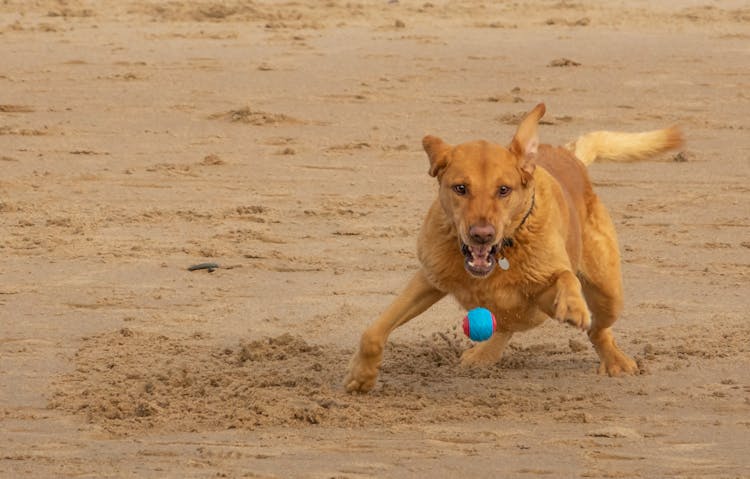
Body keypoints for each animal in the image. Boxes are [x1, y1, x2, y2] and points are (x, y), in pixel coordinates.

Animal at [344, 104, 684, 394]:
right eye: (460, 188)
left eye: (504, 190)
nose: (482, 235)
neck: (500, 259)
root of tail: (570, 156)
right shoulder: (428, 279)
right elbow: (374, 332)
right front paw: (361, 376)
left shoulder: (543, 293)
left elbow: (565, 277)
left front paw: (574, 306)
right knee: (507, 324)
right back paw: (483, 354)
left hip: (604, 291)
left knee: (597, 328)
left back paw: (615, 360)